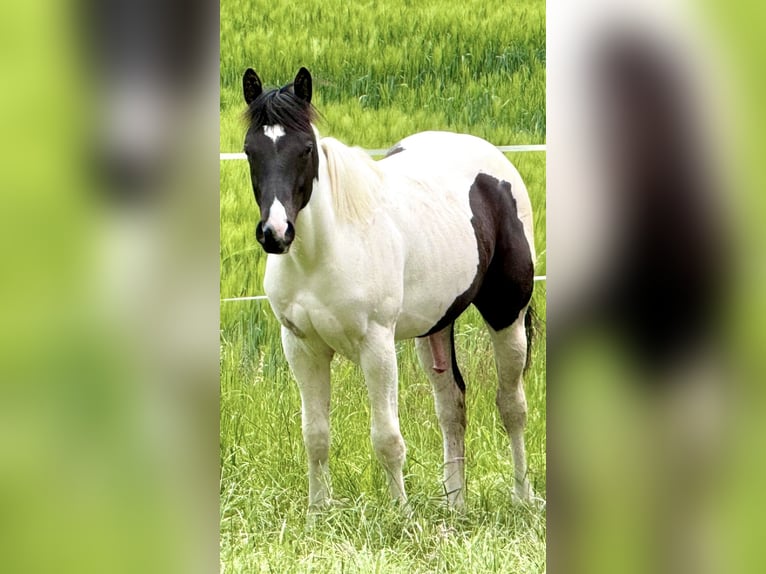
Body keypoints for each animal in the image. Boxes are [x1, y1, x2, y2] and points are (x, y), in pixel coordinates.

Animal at [241, 66, 537, 508]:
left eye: (306, 148)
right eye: (249, 150)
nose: (275, 233)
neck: (323, 251)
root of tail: (498, 167)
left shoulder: (376, 344)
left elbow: (387, 438)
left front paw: (401, 512)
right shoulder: (301, 346)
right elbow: (315, 435)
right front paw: (317, 511)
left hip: (507, 315)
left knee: (511, 405)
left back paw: (522, 495)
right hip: (436, 325)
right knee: (452, 405)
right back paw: (455, 504)